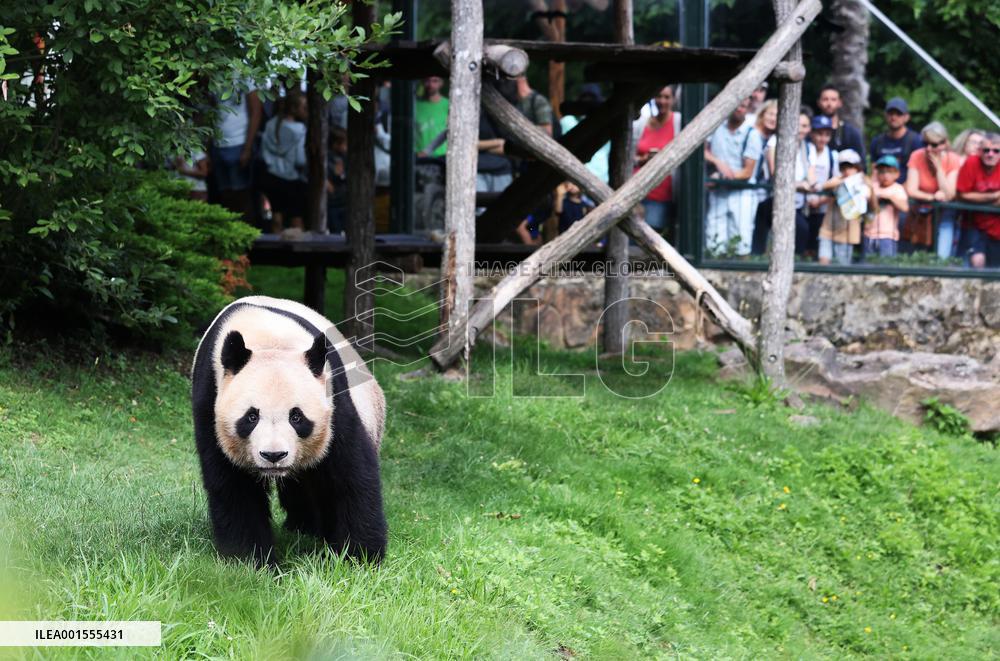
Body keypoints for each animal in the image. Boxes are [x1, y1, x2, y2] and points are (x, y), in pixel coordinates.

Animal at [191, 295, 387, 566]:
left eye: (297, 417)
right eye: (251, 416)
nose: (274, 456)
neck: (268, 338)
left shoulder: (335, 399)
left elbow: (351, 475)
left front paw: (359, 557)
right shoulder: (209, 398)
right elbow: (234, 485)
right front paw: (251, 561)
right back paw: (302, 526)